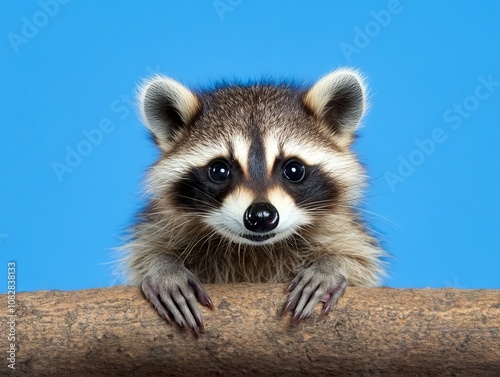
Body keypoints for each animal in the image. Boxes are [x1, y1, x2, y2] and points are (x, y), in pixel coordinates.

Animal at [125, 67, 386, 334]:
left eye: (294, 170)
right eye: (219, 171)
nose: (261, 216)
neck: (256, 249)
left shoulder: (343, 229)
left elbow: (359, 258)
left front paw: (331, 266)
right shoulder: (160, 225)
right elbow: (146, 251)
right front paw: (164, 266)